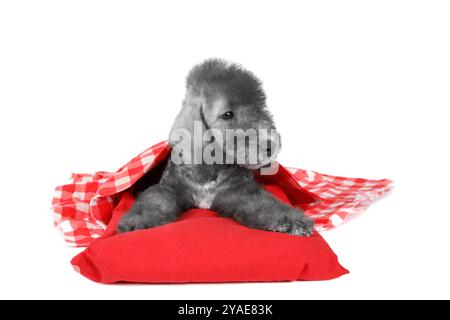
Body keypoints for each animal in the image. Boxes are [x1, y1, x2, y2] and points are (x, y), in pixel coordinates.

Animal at [118, 58, 312, 236]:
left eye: (260, 108)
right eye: (227, 114)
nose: (270, 145)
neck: (210, 168)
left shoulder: (239, 191)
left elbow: (265, 203)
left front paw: (292, 219)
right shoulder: (171, 187)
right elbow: (154, 199)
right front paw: (136, 220)